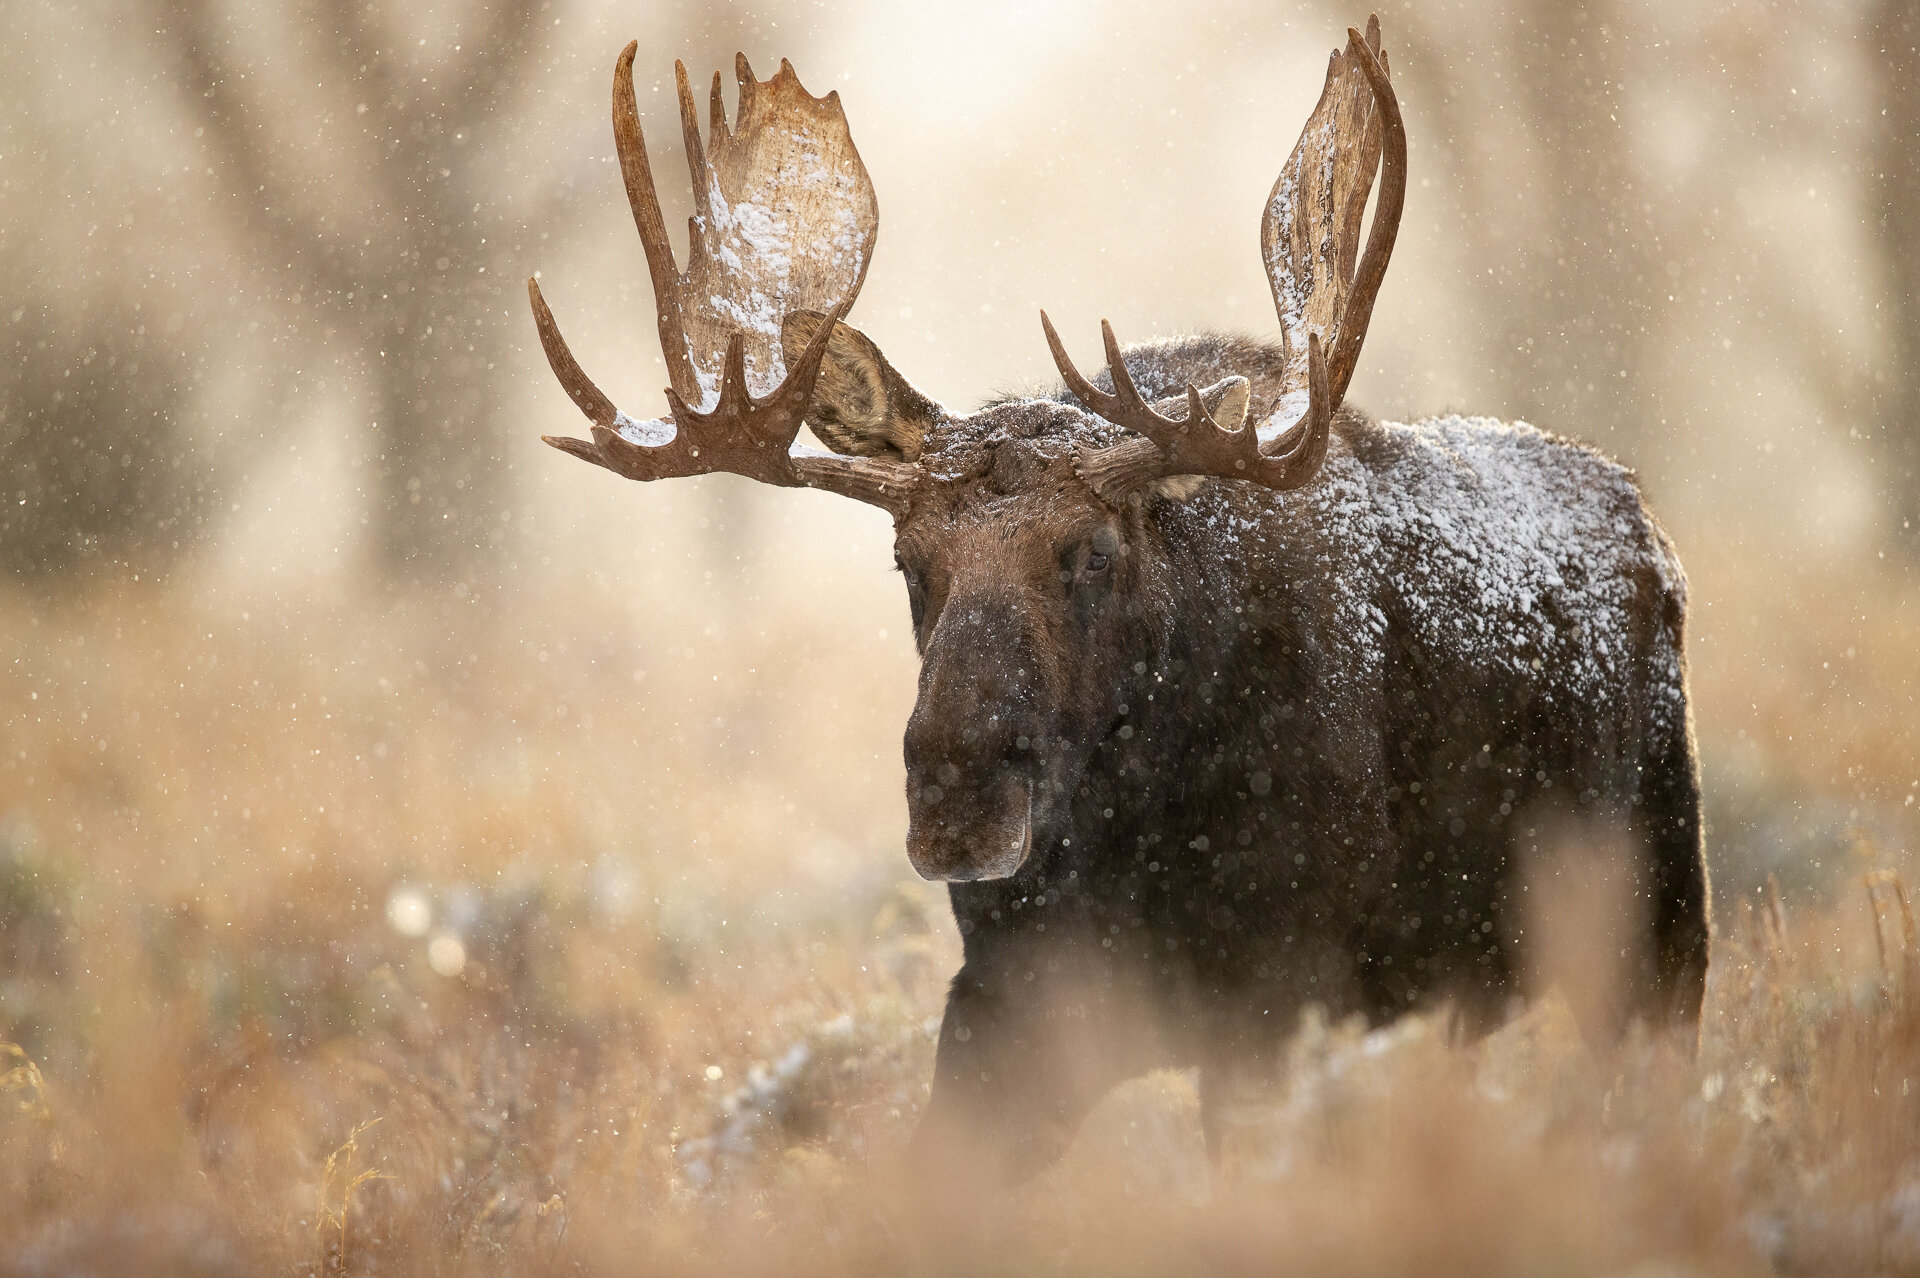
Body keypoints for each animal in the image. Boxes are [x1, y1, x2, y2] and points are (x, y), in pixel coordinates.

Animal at [526, 17, 1712, 1174]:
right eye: (908, 558)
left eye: (1090, 551)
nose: (959, 800)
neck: (1133, 830)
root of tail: (1648, 522)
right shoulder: (1005, 997)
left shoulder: (1284, 995)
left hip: (1659, 921)